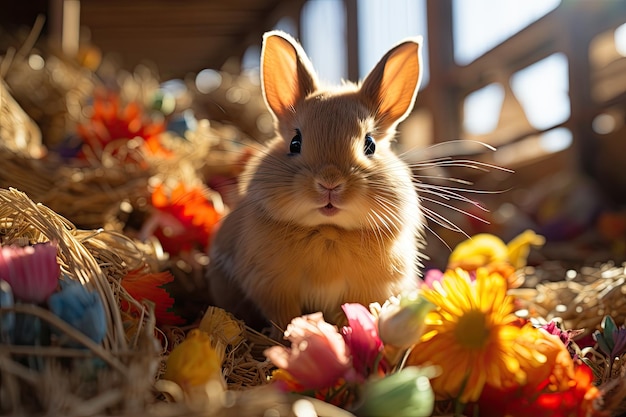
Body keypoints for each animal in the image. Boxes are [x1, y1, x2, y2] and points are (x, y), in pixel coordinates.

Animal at [205, 30, 424, 334]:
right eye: (295, 143)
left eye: (370, 144)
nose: (330, 182)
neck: (328, 231)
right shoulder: (273, 287)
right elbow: (285, 316)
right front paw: (288, 337)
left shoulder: (364, 291)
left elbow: (350, 312)